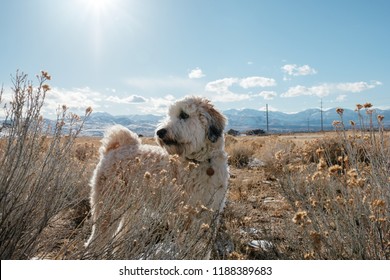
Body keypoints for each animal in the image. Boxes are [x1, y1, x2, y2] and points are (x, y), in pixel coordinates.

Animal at [86, 96, 229, 258]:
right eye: (169, 114)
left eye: (184, 115)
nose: (160, 132)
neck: (201, 162)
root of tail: (114, 149)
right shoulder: (183, 215)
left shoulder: (210, 214)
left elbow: (203, 248)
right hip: (108, 205)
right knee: (97, 239)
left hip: (131, 210)